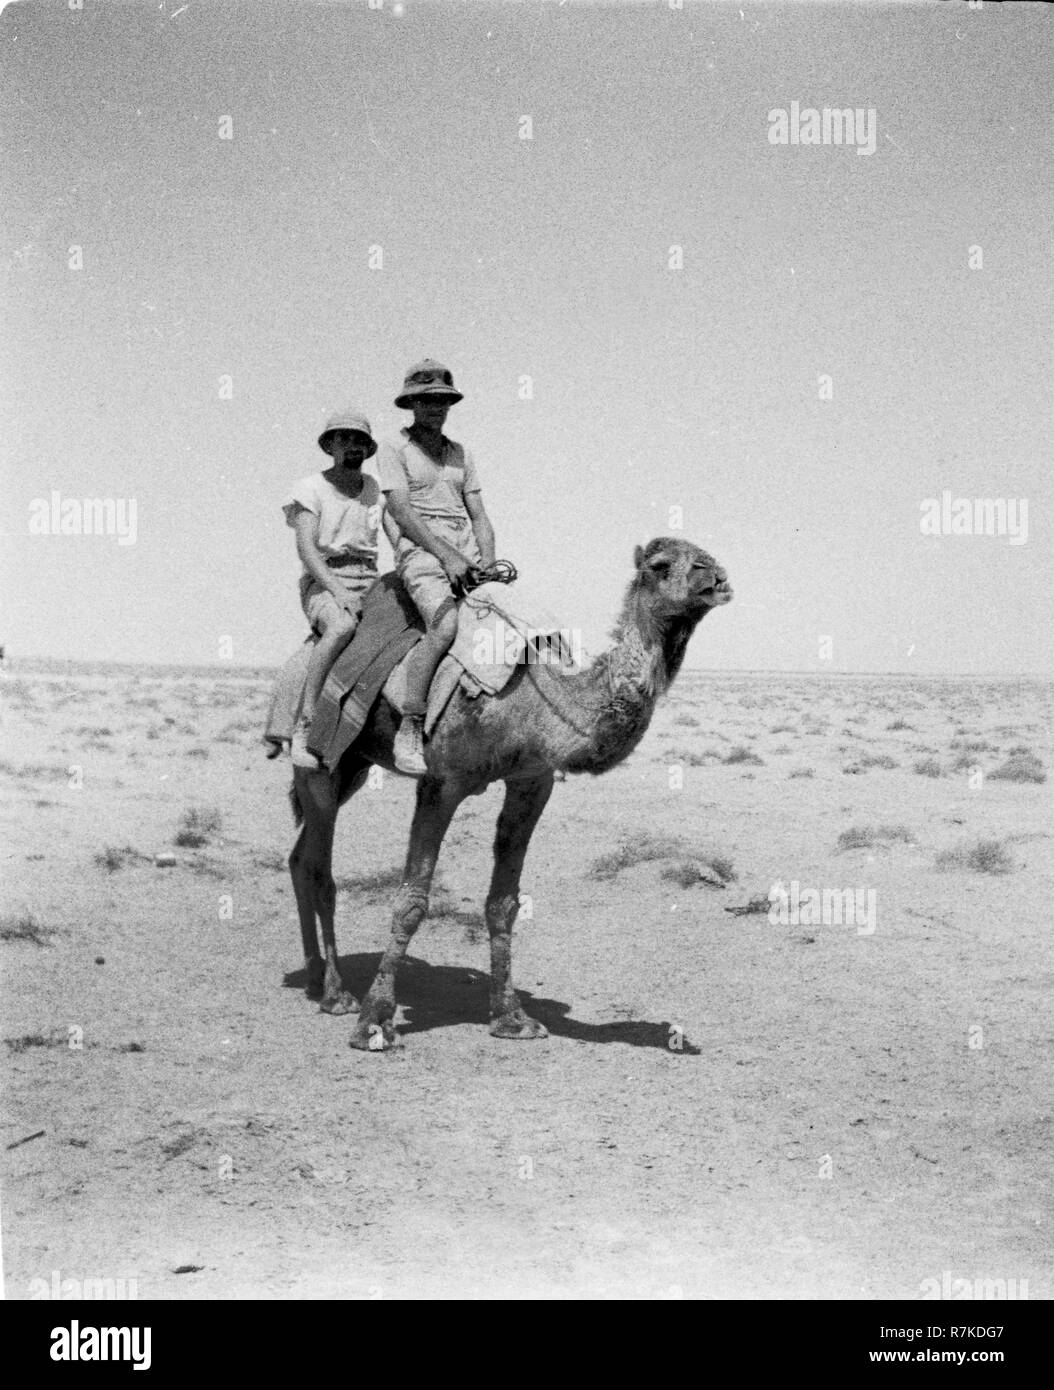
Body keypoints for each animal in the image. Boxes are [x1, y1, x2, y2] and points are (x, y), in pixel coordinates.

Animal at [289, 536, 734, 1045]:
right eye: (661, 566)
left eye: (706, 556)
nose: (716, 577)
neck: (539, 704)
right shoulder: (442, 782)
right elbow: (411, 900)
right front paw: (375, 1022)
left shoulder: (531, 780)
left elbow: (504, 903)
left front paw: (511, 1018)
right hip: (319, 763)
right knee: (320, 869)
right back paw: (336, 994)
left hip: (355, 767)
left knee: (300, 857)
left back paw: (314, 977)